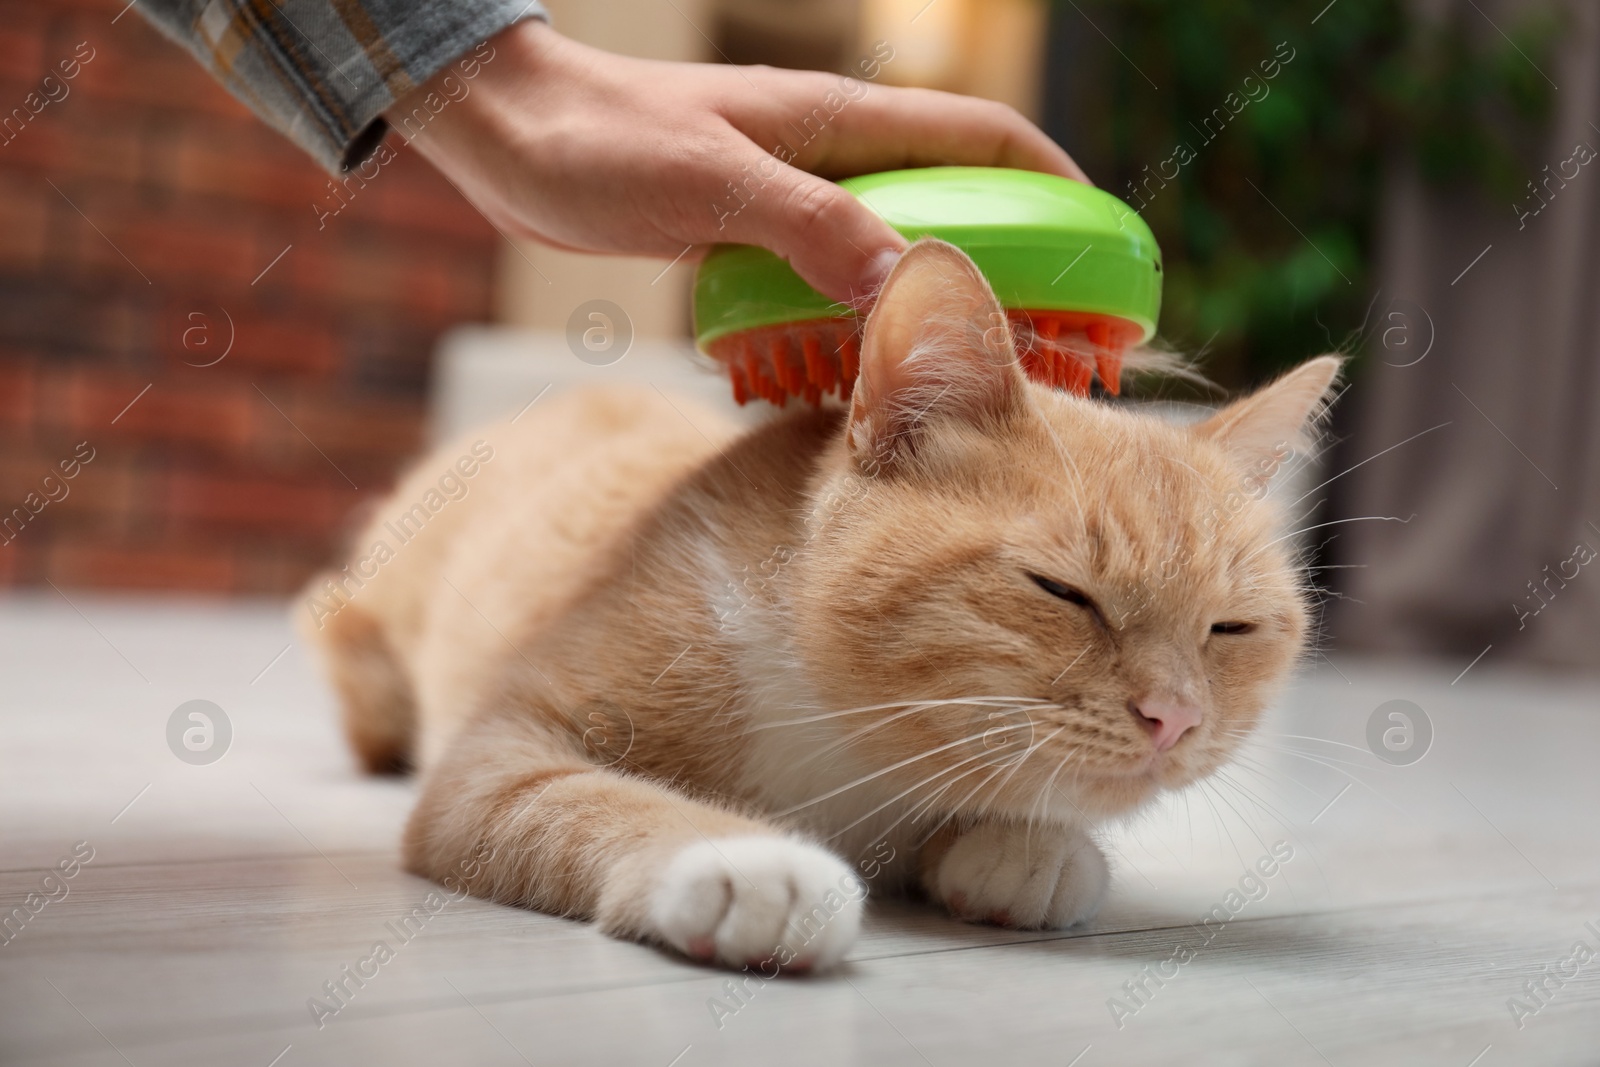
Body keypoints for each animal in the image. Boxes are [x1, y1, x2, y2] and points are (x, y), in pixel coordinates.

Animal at [297, 241, 1337, 979]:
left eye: (1230, 628)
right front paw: (747, 861)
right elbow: (591, 798)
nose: (1176, 718)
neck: (850, 749)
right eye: (1063, 593)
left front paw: (1026, 848)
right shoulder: (499, 752)